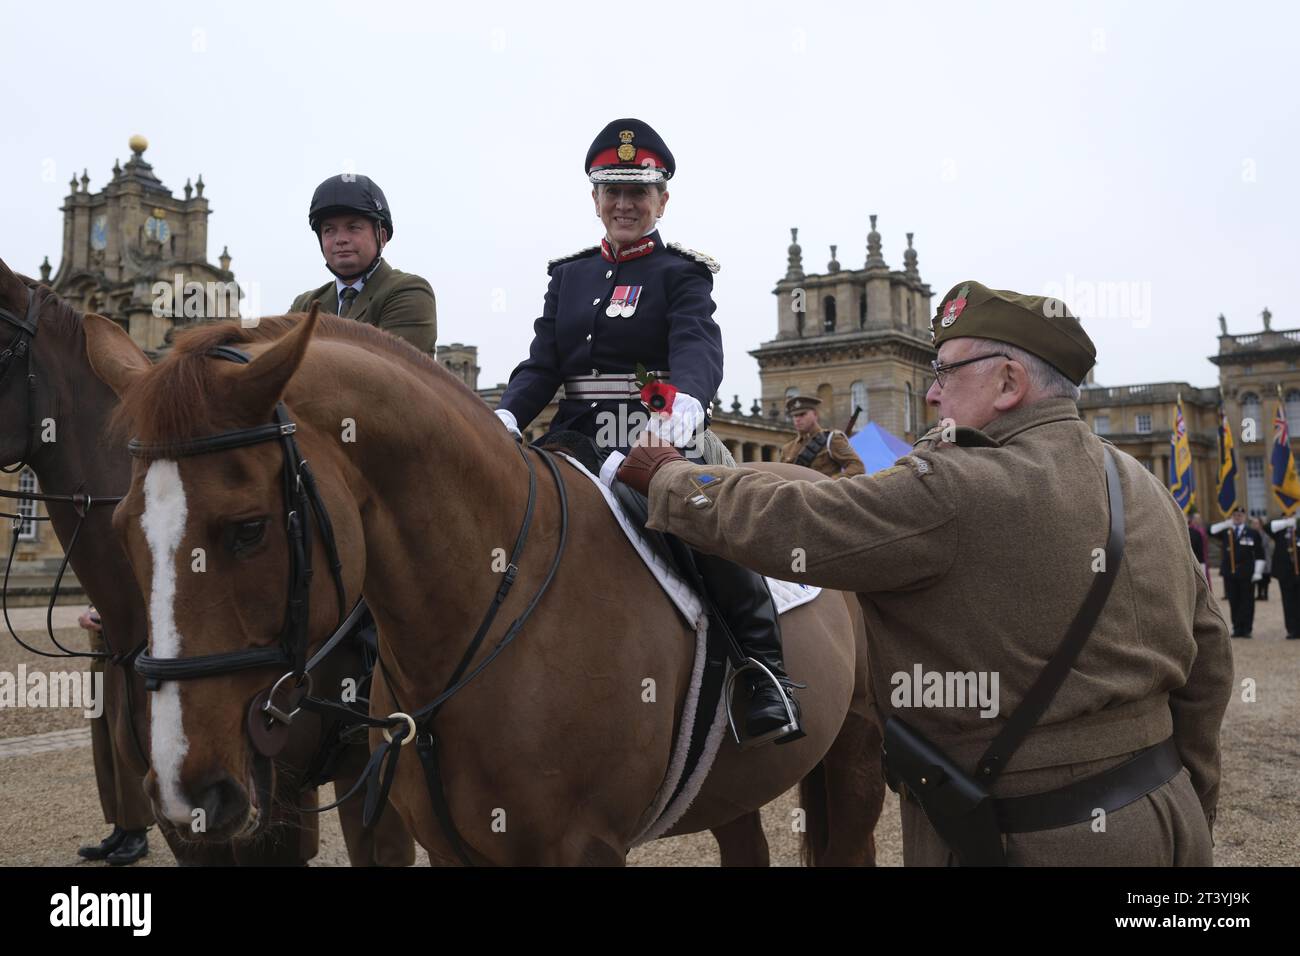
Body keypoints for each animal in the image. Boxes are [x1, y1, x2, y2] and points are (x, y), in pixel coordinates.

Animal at [86, 308, 889, 868]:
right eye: (122, 526)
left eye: (249, 528)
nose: (185, 790)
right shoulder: (451, 848)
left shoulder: (583, 848)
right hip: (734, 782)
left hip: (855, 752)